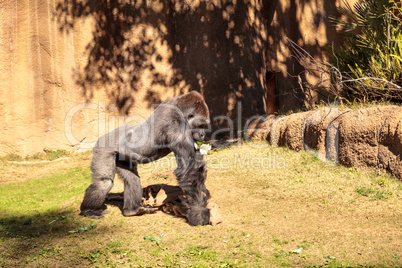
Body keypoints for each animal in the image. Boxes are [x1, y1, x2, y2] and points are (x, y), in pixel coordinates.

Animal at [79, 91, 210, 225]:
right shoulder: (176, 125)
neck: (180, 109)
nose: (203, 135)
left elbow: (195, 167)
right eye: (201, 125)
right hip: (102, 148)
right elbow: (188, 170)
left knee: (132, 179)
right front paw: (198, 213)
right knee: (104, 182)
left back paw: (132, 210)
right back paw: (88, 210)